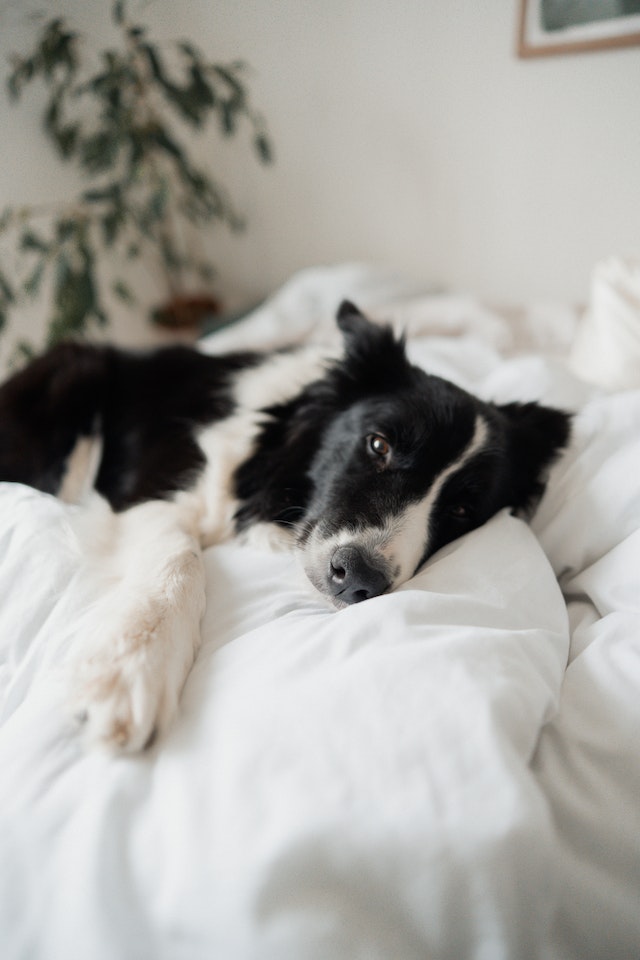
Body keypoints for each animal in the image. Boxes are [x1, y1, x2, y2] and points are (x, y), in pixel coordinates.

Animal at [0, 300, 568, 752]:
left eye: (462, 511)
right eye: (378, 444)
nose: (358, 577)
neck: (269, 465)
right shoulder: (149, 494)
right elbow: (178, 559)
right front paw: (131, 670)